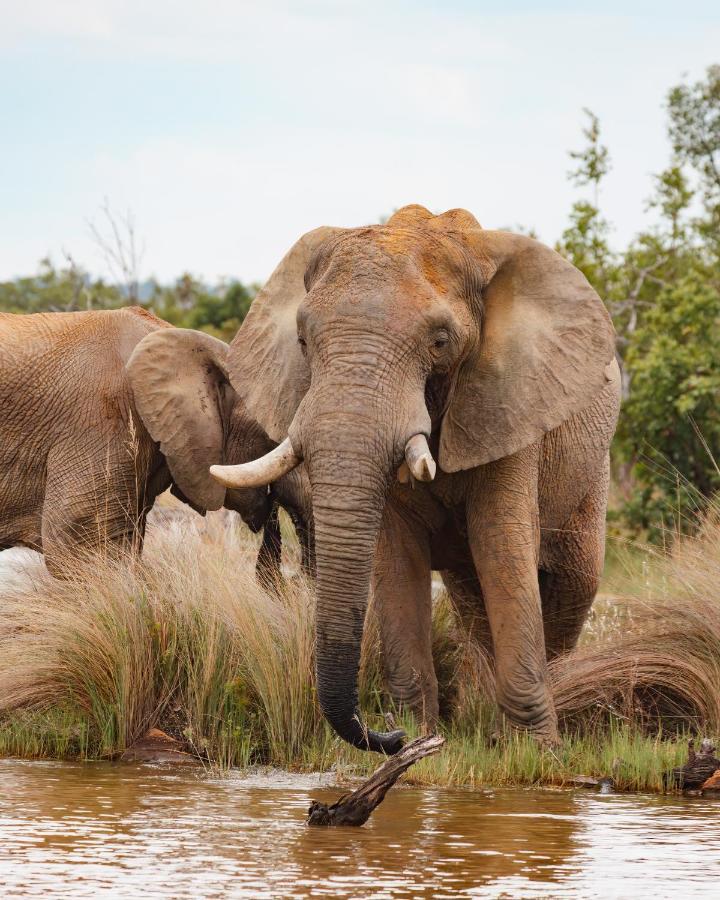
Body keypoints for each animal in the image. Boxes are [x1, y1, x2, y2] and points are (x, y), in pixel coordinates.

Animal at [211, 207, 620, 748]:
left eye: (440, 341)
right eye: (301, 341)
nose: (386, 734)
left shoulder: (508, 403)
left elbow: (503, 550)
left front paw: (537, 749)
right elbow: (397, 556)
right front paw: (424, 740)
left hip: (591, 467)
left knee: (574, 581)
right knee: (470, 593)